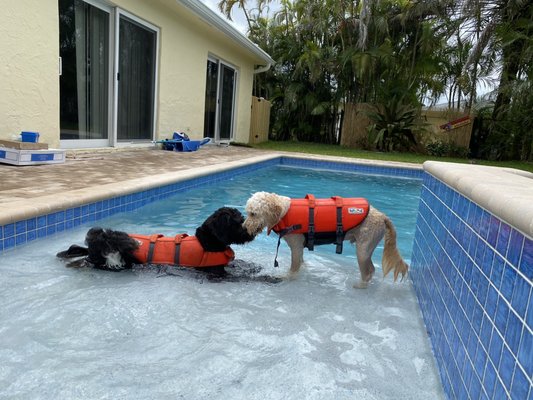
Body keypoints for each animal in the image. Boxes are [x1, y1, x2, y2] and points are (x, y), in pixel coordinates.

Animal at [243, 191, 410, 288]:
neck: (284, 212)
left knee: (369, 271)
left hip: (363, 249)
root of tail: (383, 216)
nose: (244, 228)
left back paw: (360, 285)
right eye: (248, 212)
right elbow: (301, 262)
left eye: (253, 213)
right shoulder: (300, 248)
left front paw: (287, 277)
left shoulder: (296, 246)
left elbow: (293, 268)